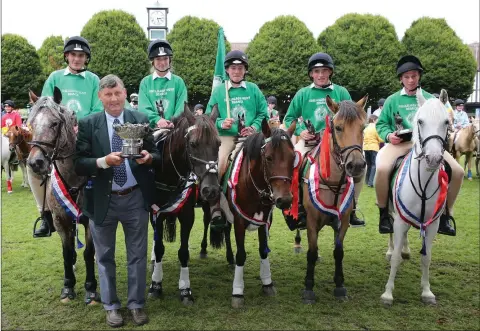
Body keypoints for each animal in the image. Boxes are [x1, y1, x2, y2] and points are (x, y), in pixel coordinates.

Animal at [26, 89, 100, 306]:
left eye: (55, 123)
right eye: (31, 124)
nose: (35, 163)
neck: (73, 178)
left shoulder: (91, 221)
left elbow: (89, 252)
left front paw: (91, 289)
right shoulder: (60, 221)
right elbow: (67, 253)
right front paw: (68, 287)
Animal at [148, 107, 221, 306]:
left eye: (218, 144)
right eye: (193, 144)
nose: (211, 189)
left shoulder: (187, 215)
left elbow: (183, 252)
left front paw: (185, 289)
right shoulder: (156, 213)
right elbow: (159, 248)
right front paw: (156, 285)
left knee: (206, 220)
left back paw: (203, 249)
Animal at [225, 118, 296, 308]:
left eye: (293, 158)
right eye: (269, 158)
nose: (285, 200)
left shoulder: (265, 220)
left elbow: (264, 250)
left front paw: (267, 283)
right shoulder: (239, 221)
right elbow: (241, 254)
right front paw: (237, 291)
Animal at [300, 95, 368, 304]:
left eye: (363, 127)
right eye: (338, 127)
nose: (356, 165)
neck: (332, 183)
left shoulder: (343, 221)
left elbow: (338, 252)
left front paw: (339, 285)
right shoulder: (312, 221)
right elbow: (311, 252)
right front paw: (308, 287)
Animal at [380, 88, 452, 306]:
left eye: (446, 122)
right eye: (420, 121)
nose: (433, 158)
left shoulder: (432, 224)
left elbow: (426, 258)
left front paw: (427, 292)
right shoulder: (400, 221)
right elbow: (395, 257)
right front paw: (388, 294)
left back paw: (406, 250)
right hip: (393, 213)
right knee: (391, 230)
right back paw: (391, 249)